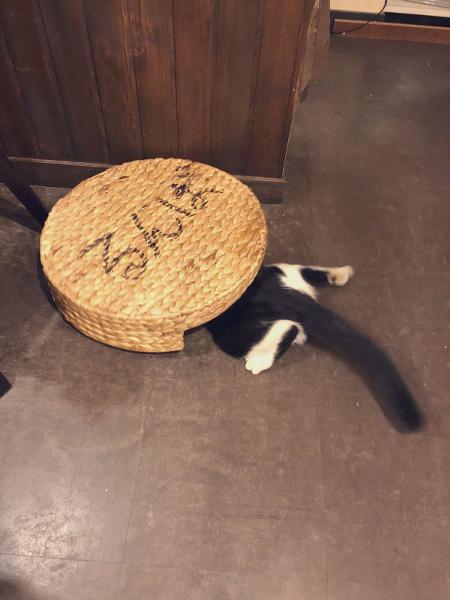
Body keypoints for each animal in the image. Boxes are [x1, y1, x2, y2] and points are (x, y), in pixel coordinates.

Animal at [207, 263, 423, 433]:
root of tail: (286, 295)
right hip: (285, 271)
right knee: (313, 272)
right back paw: (342, 273)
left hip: (235, 334)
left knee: (289, 328)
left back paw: (257, 363)